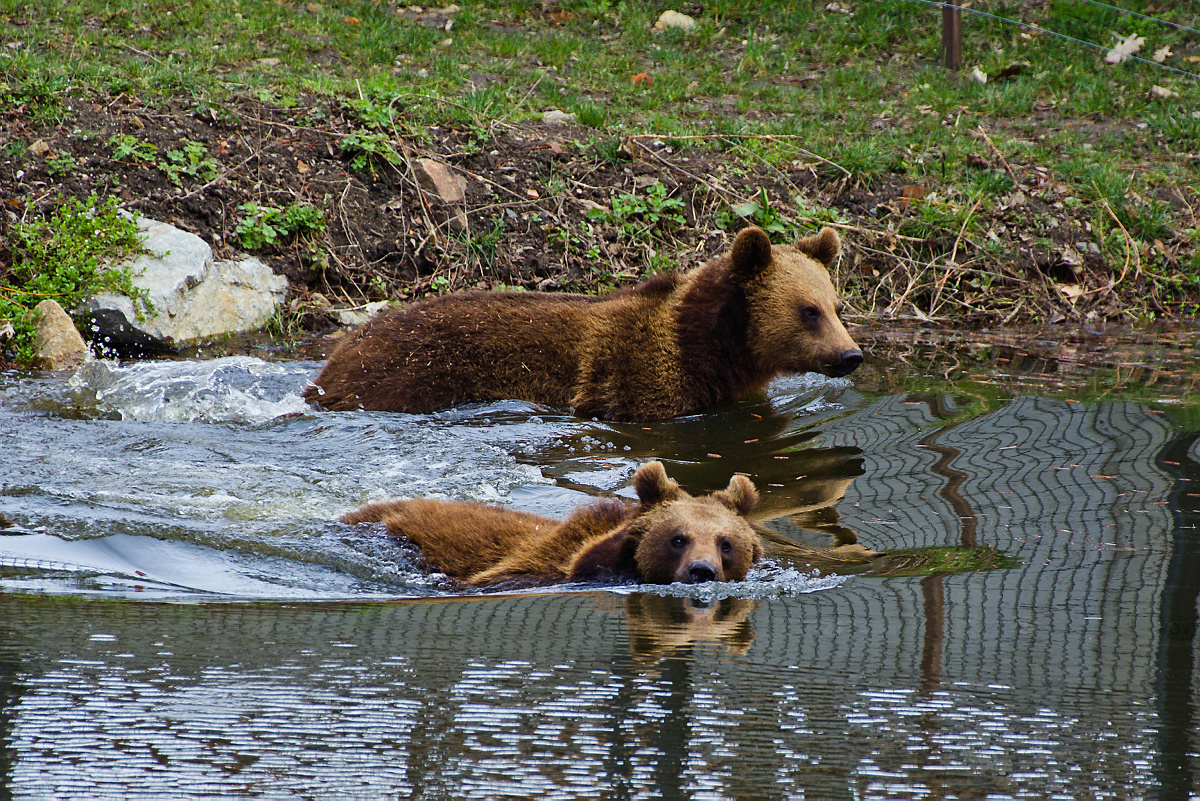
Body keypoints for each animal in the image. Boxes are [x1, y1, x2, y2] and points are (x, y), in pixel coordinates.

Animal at [304, 225, 859, 422]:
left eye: (836, 306)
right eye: (808, 310)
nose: (851, 355)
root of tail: (332, 363)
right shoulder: (640, 382)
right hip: (408, 375)